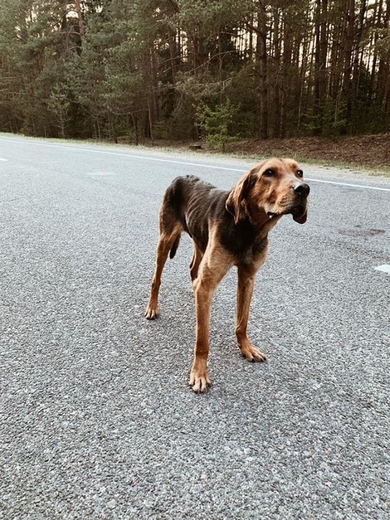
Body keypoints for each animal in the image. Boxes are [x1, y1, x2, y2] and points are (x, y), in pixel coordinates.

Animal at [145, 156, 310, 392]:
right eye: (269, 172)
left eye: (299, 172)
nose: (303, 189)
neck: (249, 229)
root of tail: (180, 177)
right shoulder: (208, 283)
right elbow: (202, 340)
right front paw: (199, 373)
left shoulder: (247, 278)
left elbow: (242, 322)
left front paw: (246, 348)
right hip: (165, 240)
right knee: (156, 279)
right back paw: (152, 307)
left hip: (200, 241)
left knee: (193, 269)